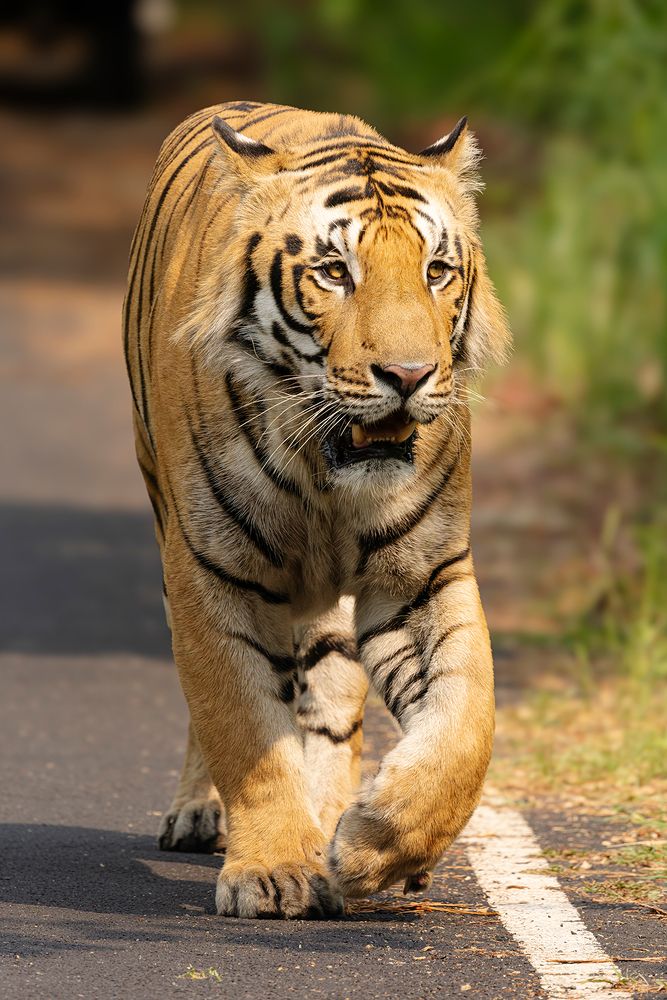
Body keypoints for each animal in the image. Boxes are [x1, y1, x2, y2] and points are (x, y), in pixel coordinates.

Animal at [123, 101, 511, 919]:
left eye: (436, 271)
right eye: (335, 273)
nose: (408, 375)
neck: (325, 478)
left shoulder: (421, 576)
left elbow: (467, 726)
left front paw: (373, 846)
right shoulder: (213, 573)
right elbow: (243, 727)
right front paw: (274, 873)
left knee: (333, 704)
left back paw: (336, 821)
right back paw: (202, 815)